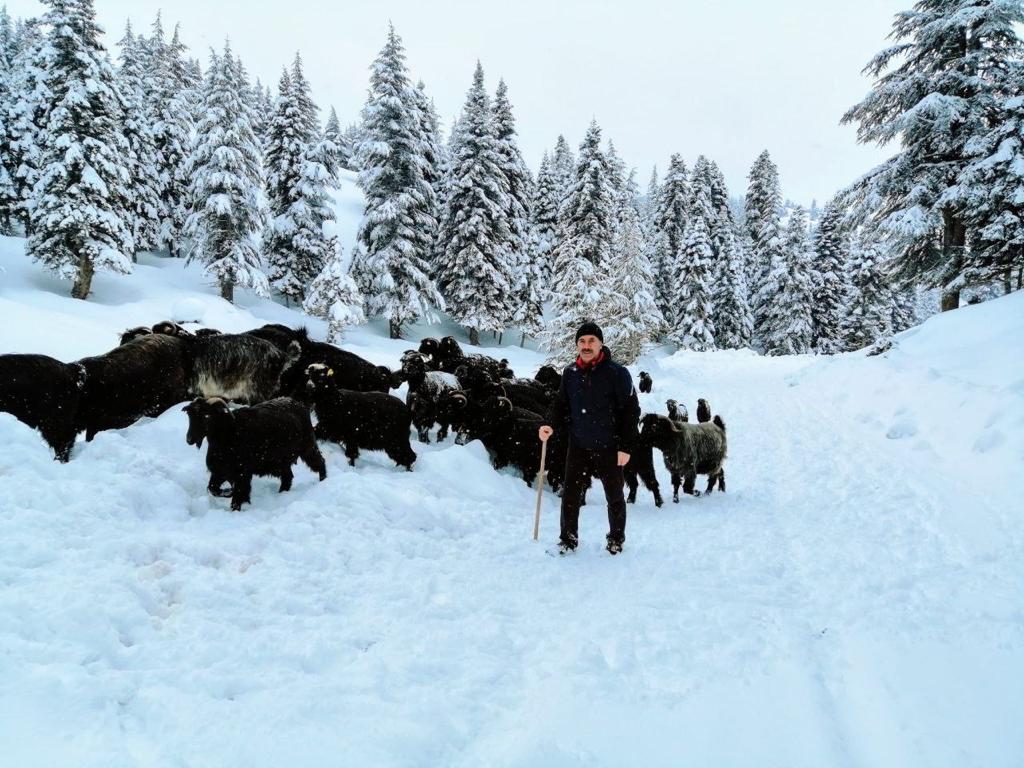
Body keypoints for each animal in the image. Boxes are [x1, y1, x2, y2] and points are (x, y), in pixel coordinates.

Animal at [183, 397, 323, 512]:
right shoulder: (220, 471)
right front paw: (227, 492)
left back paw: (323, 481)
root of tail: (299, 404)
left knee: (320, 462)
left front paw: (235, 508)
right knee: (288, 476)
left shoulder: (242, 472)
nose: (189, 439)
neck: (229, 432)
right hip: (280, 462)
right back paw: (282, 493)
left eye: (206, 416)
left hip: (307, 446)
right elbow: (213, 488)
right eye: (190, 416)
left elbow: (239, 493)